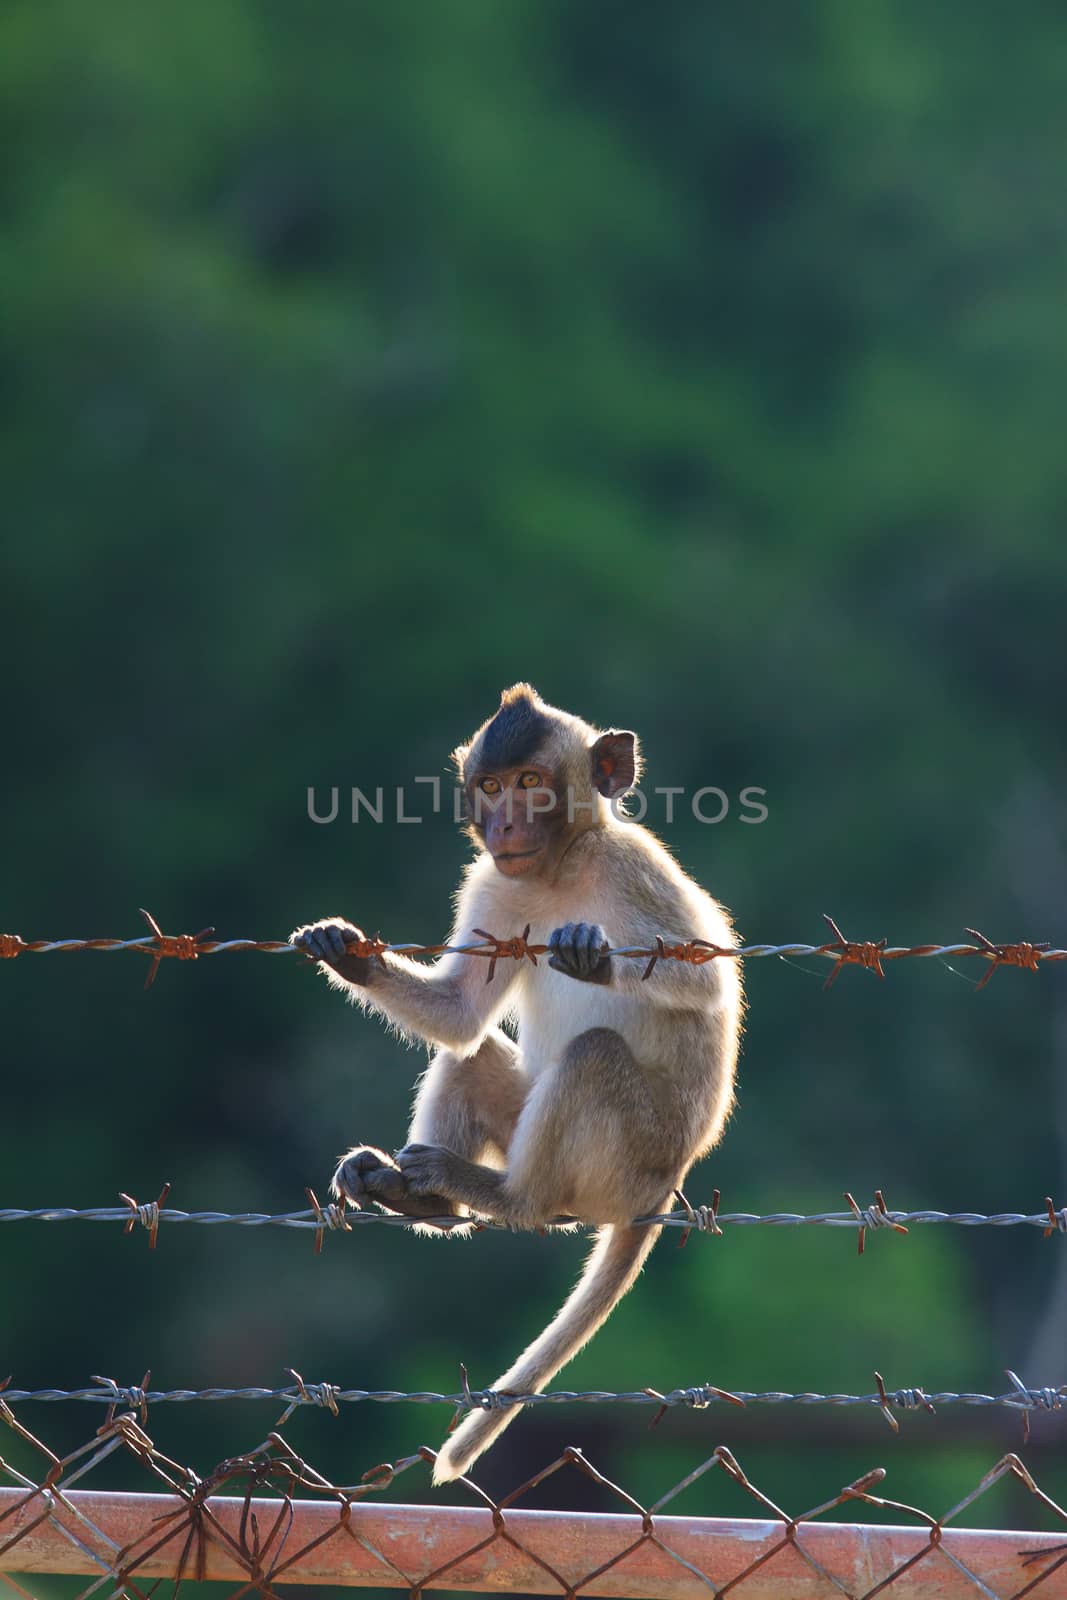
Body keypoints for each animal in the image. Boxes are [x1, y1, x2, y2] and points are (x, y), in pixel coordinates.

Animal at [289, 681, 742, 1478]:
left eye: (531, 782)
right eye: (491, 786)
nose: (502, 825)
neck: (560, 868)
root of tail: (671, 1178)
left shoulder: (634, 866)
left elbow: (706, 981)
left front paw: (591, 953)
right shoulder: (495, 884)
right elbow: (460, 1015)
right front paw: (347, 953)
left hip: (629, 1158)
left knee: (592, 1056)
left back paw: (507, 1197)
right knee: (472, 1056)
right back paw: (420, 1195)